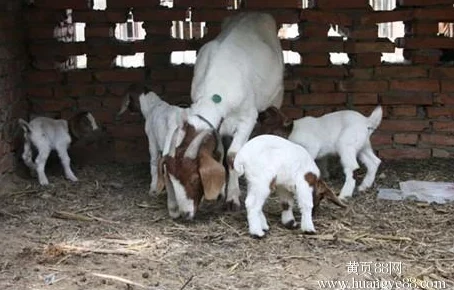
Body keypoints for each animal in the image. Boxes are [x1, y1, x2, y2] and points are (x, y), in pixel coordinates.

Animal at [160, 11, 288, 220]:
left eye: (194, 178)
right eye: (171, 176)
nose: (186, 214)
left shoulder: (247, 118)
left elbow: (232, 156)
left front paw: (232, 198)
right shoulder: (217, 126)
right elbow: (219, 153)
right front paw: (221, 191)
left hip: (276, 96)